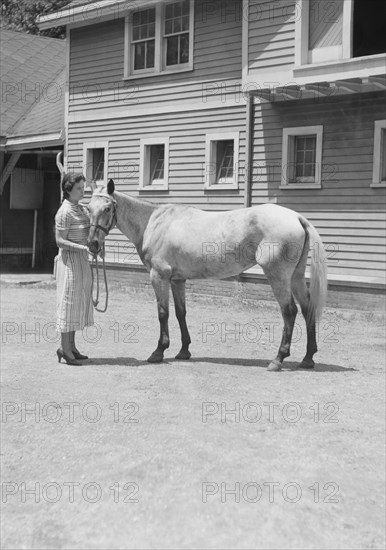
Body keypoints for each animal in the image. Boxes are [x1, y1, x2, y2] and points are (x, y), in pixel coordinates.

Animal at [86, 179, 326, 374]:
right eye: (88, 208)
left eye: (107, 208)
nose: (93, 244)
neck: (153, 223)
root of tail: (297, 217)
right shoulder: (177, 280)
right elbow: (180, 313)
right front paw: (184, 350)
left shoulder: (159, 277)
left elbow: (163, 314)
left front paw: (158, 351)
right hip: (295, 277)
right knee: (307, 308)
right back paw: (307, 358)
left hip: (278, 277)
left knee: (289, 312)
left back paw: (278, 359)